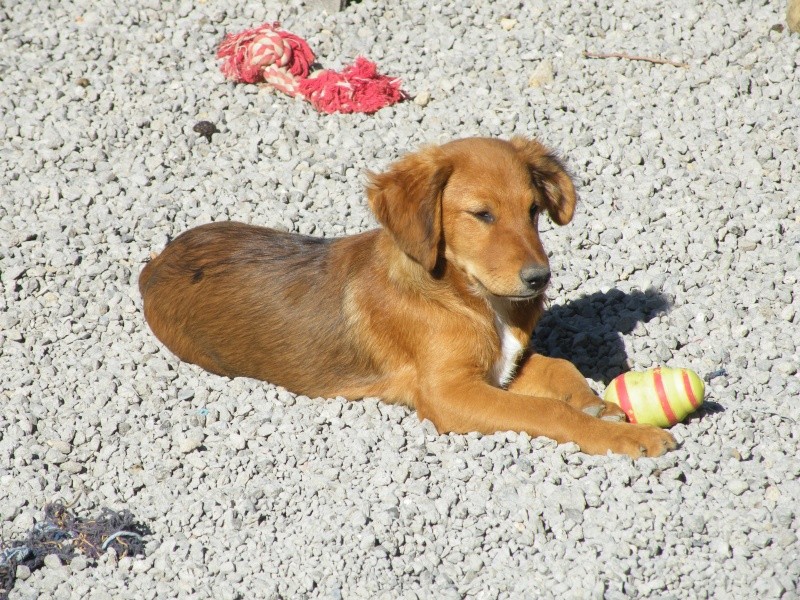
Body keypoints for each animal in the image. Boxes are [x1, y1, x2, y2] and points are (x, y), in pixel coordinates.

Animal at [139, 136, 676, 458]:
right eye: (482, 214)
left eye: (533, 211)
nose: (538, 279)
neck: (465, 296)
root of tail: (155, 264)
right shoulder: (448, 392)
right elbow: (546, 411)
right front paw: (627, 436)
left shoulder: (501, 367)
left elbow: (559, 367)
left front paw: (597, 406)